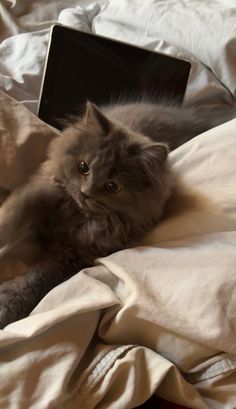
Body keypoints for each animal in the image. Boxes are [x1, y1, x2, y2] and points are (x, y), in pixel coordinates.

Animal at [0, 97, 234, 326]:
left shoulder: (73, 256)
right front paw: (8, 228)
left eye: (112, 187)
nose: (85, 193)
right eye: (83, 167)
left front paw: (6, 305)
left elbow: (35, 281)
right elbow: (25, 205)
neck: (76, 216)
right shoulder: (46, 188)